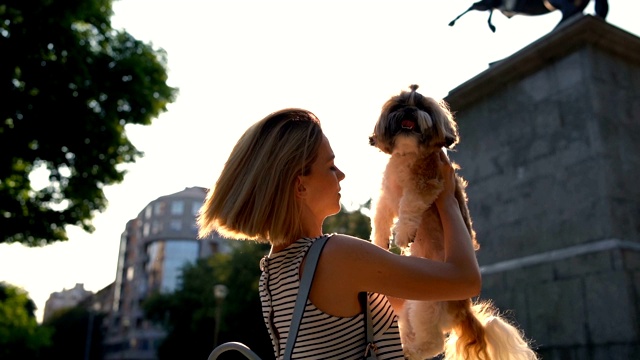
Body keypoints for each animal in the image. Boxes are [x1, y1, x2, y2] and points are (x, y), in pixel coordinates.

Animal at [368, 85, 536, 360]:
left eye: (422, 107)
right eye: (399, 105)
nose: (409, 110)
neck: (408, 154)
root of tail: (463, 309)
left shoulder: (426, 184)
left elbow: (409, 206)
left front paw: (402, 235)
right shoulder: (387, 196)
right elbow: (380, 217)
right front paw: (380, 241)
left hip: (427, 304)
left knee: (433, 342)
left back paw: (410, 350)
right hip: (414, 305)